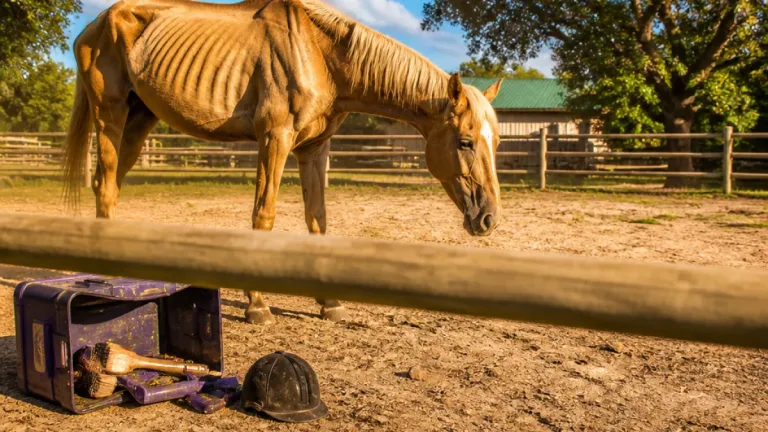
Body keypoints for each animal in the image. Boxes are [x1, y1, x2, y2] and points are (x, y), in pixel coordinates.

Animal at [61, 0, 504, 325]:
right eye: (465, 142)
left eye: (496, 141)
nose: (488, 219)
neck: (320, 54)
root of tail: (98, 22)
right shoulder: (275, 139)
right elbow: (264, 217)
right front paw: (257, 305)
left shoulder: (314, 148)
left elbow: (317, 221)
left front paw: (329, 303)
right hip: (111, 115)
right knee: (105, 187)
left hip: (140, 121)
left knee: (108, 186)